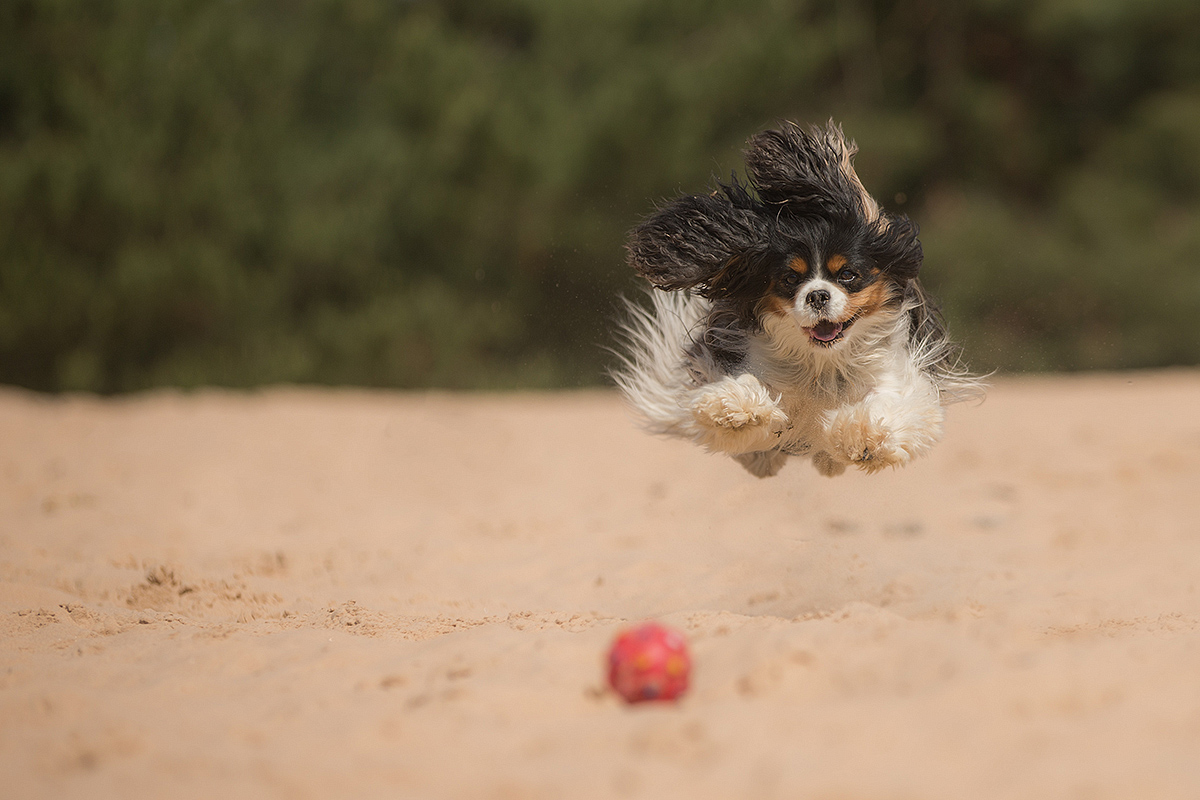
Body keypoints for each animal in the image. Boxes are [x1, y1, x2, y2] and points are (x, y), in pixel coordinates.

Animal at [614, 122, 979, 479]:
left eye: (848, 274)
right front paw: (733, 410)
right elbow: (743, 397)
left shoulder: (899, 380)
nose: (817, 294)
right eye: (791, 279)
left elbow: (890, 408)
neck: (824, 365)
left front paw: (862, 436)